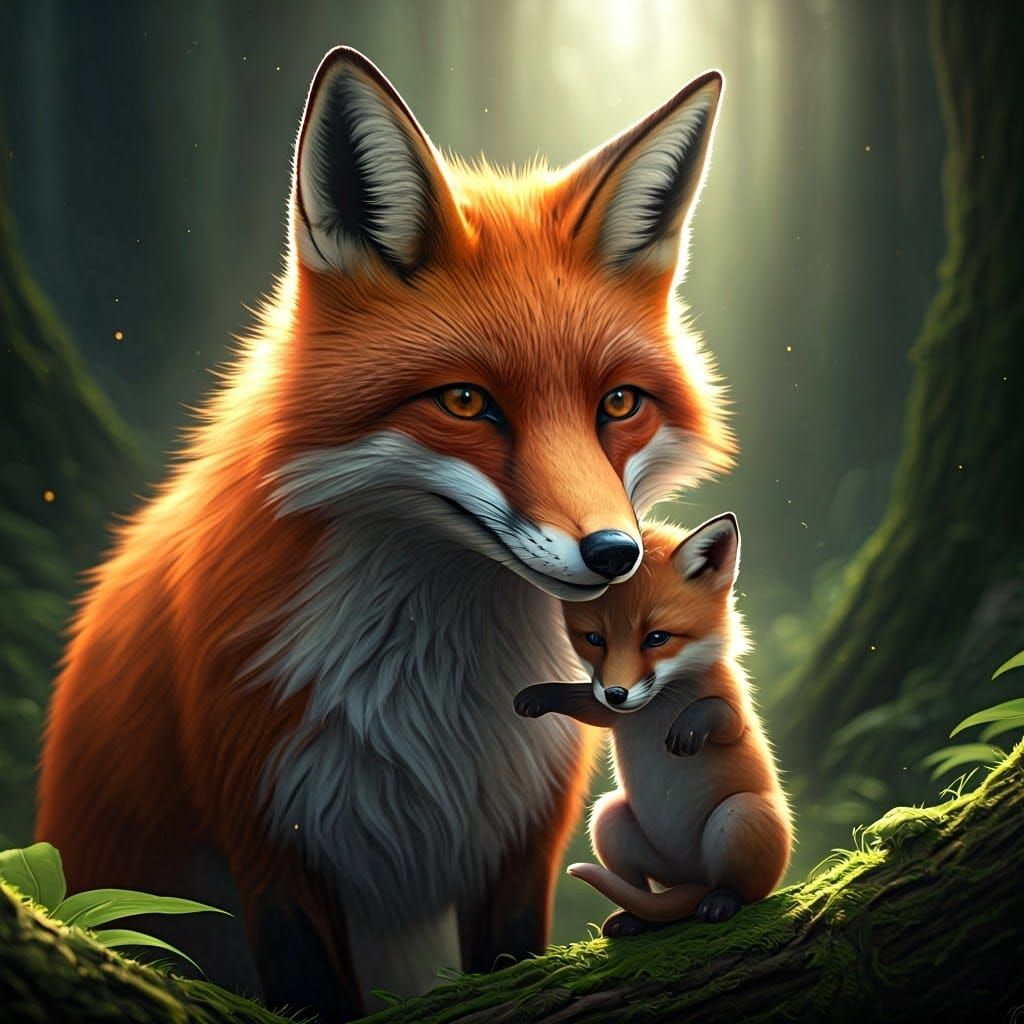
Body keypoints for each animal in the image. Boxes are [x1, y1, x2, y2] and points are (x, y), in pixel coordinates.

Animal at [36, 47, 734, 1021]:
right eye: (467, 402)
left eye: (619, 404)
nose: (615, 555)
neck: (435, 698)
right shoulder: (272, 841)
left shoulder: (517, 843)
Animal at [515, 515, 792, 937]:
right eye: (594, 639)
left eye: (657, 638)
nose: (616, 693)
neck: (662, 700)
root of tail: (691, 878)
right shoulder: (612, 713)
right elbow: (585, 702)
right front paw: (537, 696)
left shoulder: (735, 704)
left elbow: (721, 715)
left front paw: (688, 727)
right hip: (609, 817)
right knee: (640, 889)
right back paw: (636, 918)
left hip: (741, 815)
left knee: (741, 888)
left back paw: (721, 902)